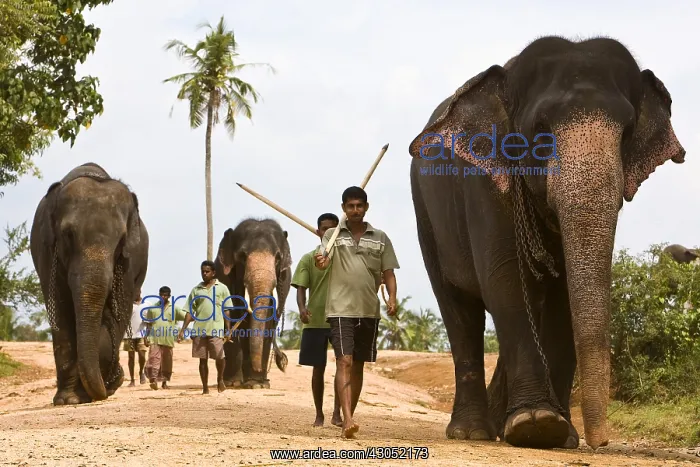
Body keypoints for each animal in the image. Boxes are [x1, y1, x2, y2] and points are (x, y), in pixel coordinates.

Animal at [30, 162, 149, 405]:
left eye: (121, 240)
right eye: (68, 235)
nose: (114, 381)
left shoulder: (129, 261)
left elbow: (120, 309)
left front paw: (99, 388)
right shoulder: (46, 253)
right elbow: (61, 309)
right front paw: (68, 400)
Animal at [215, 218, 291, 389]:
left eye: (278, 258)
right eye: (242, 256)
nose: (283, 361)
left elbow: (268, 322)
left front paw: (257, 385)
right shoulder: (226, 277)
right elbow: (233, 317)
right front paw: (237, 383)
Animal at [408, 36, 685, 450]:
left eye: (627, 132)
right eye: (540, 131)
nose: (599, 443)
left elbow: (562, 293)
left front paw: (558, 434)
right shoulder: (485, 183)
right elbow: (504, 277)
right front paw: (534, 424)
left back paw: (499, 426)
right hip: (425, 213)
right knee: (459, 309)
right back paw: (473, 432)